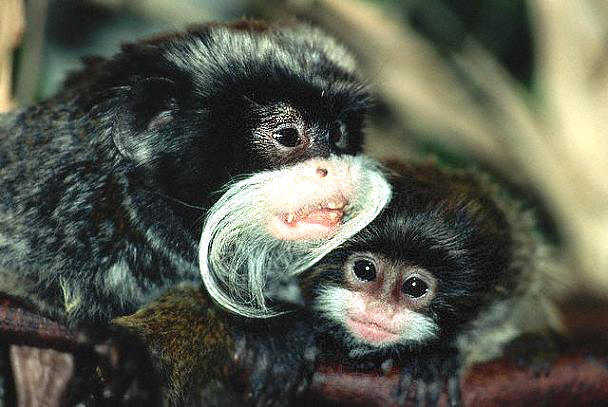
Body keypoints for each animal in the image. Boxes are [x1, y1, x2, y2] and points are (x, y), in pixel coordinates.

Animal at [110, 160, 562, 407]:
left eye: (415, 288)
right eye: (366, 271)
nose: (379, 310)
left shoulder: (514, 266)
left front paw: (433, 361)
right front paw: (276, 337)